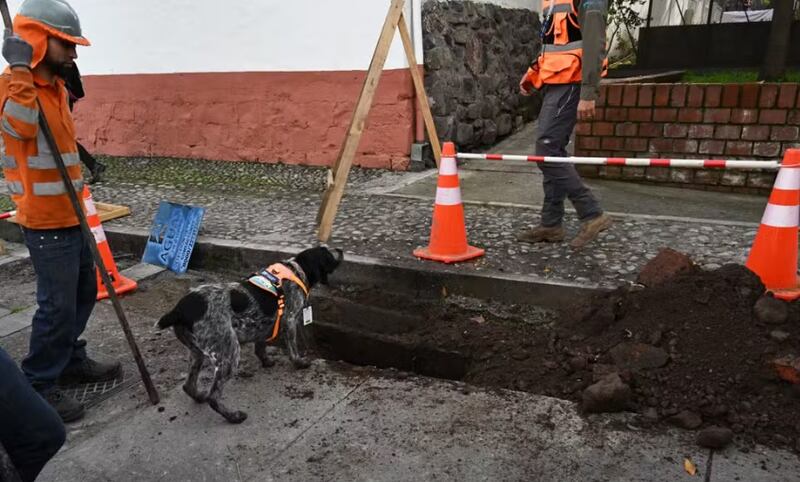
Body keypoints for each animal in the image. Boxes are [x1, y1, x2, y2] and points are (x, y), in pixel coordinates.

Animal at [155, 247, 342, 424]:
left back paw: (199, 397)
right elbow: (293, 350)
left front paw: (266, 362)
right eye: (328, 252)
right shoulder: (289, 320)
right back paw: (233, 416)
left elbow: (260, 347)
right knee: (213, 397)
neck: (296, 270)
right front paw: (299, 363)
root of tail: (179, 310)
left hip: (197, 352)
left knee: (188, 386)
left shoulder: (264, 325)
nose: (340, 250)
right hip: (229, 353)